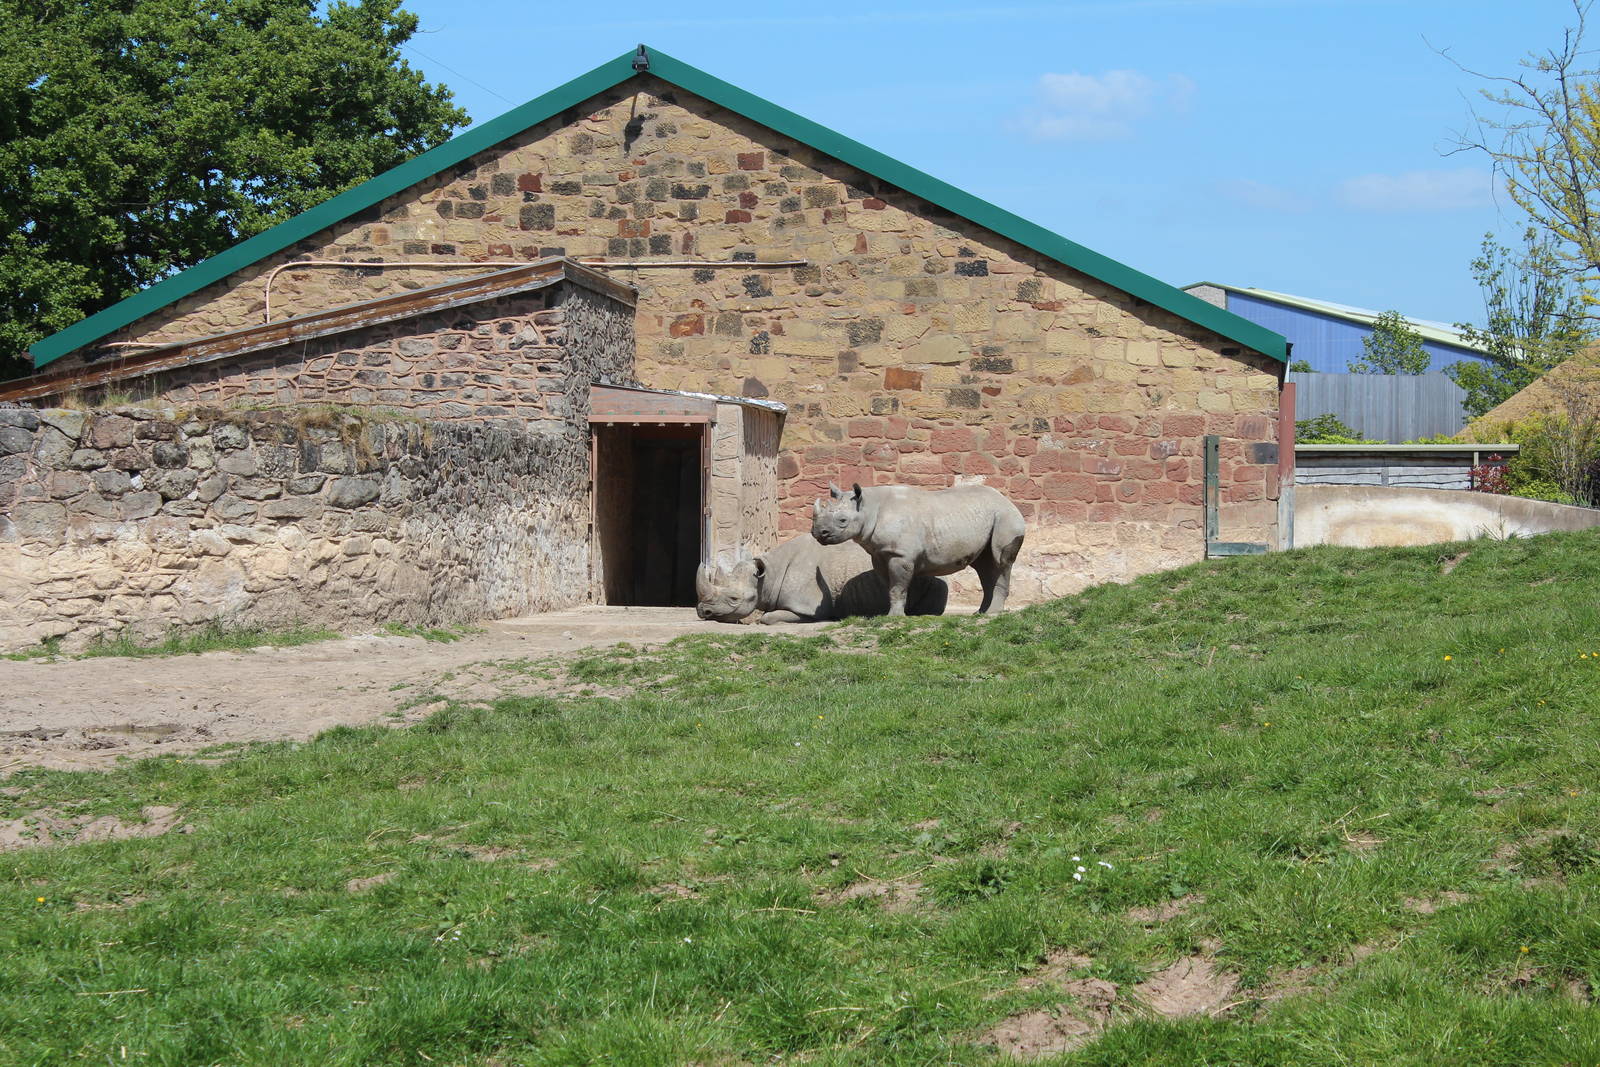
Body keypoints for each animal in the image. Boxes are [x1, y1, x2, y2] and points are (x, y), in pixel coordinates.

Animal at [811, 482, 1026, 615]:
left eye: (842, 521)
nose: (818, 533)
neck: (868, 508)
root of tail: (1009, 501)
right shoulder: (880, 553)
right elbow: (891, 587)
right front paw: (895, 613)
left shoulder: (900, 554)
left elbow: (898, 586)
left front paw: (894, 617)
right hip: (990, 517)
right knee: (985, 565)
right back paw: (980, 613)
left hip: (1006, 517)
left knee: (1000, 561)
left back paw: (992, 614)